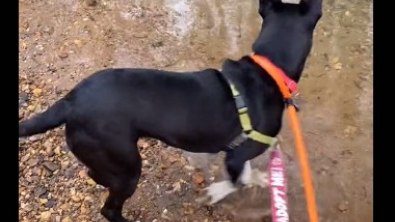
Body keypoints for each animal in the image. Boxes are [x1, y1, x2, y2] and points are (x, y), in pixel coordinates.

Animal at [18, 0, 324, 221]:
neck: (268, 70)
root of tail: (71, 100)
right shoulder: (239, 153)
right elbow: (237, 181)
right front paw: (218, 192)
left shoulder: (239, 152)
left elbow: (246, 176)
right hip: (127, 166)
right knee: (110, 209)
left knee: (96, 175)